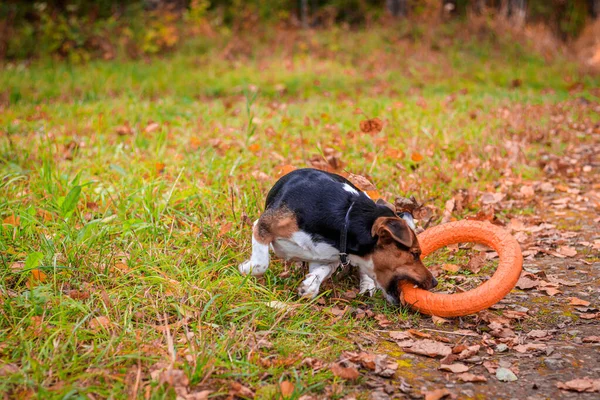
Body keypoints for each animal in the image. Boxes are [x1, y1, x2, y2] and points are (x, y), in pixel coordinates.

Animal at [238, 168, 436, 304]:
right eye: (415, 254)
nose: (434, 282)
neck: (345, 221)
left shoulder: (326, 256)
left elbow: (322, 271)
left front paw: (310, 286)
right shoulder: (262, 226)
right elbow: (261, 264)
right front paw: (245, 268)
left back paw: (367, 286)